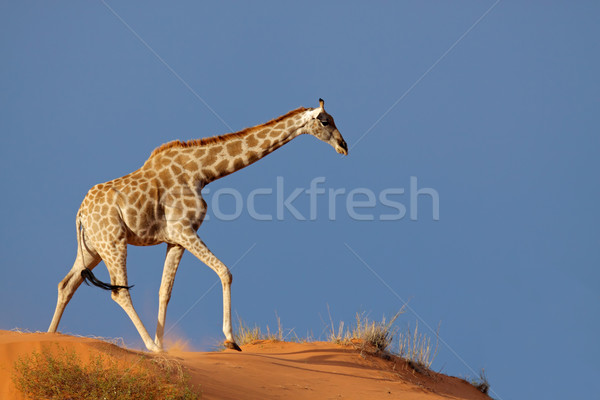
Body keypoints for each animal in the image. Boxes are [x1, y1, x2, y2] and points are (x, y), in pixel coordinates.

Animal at [49, 98, 350, 352]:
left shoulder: (174, 240)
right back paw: (150, 347)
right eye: (325, 121)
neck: (202, 172)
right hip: (113, 242)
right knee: (118, 292)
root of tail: (80, 213)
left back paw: (51, 336)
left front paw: (167, 346)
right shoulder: (183, 230)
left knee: (67, 284)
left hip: (93, 247)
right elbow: (225, 271)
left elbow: (165, 292)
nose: (344, 146)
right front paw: (230, 341)